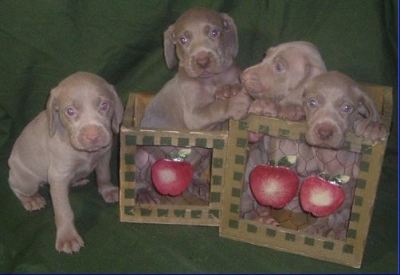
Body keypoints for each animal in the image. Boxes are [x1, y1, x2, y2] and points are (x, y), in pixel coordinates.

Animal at [8, 71, 123, 254]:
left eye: (104, 106)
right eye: (70, 111)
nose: (93, 136)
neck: (85, 154)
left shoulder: (105, 154)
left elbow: (104, 175)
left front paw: (108, 190)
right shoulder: (58, 176)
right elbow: (64, 211)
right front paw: (67, 237)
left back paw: (78, 181)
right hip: (26, 181)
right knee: (16, 187)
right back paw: (31, 200)